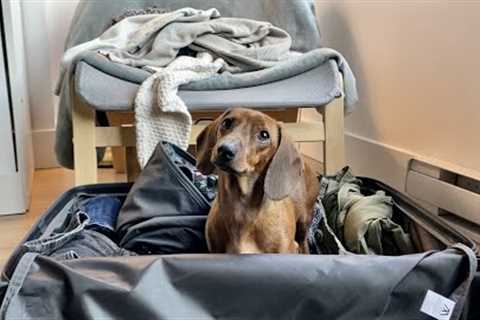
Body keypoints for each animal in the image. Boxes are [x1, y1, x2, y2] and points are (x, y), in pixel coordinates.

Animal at [195, 109, 318, 254]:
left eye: (264, 135)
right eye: (227, 122)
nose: (224, 150)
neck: (241, 210)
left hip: (305, 219)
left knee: (303, 241)